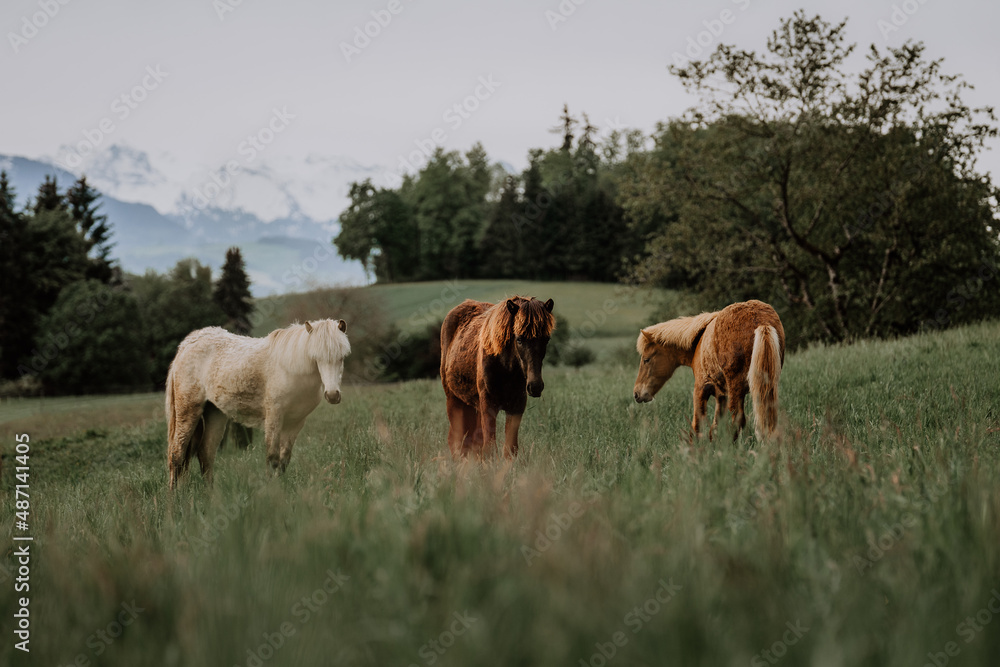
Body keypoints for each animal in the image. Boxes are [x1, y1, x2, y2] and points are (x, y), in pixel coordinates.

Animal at [166, 320, 350, 488]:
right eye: (316, 358)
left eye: (341, 358)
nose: (332, 395)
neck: (290, 369)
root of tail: (187, 344)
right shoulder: (274, 417)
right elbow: (272, 458)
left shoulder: (295, 422)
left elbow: (284, 461)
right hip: (188, 410)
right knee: (177, 455)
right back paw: (175, 499)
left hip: (215, 413)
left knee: (206, 454)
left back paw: (210, 496)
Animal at [444, 298, 560, 460]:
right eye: (519, 339)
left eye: (546, 339)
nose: (535, 386)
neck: (506, 367)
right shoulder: (488, 407)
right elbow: (490, 448)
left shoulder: (516, 407)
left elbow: (510, 449)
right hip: (453, 400)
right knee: (455, 439)